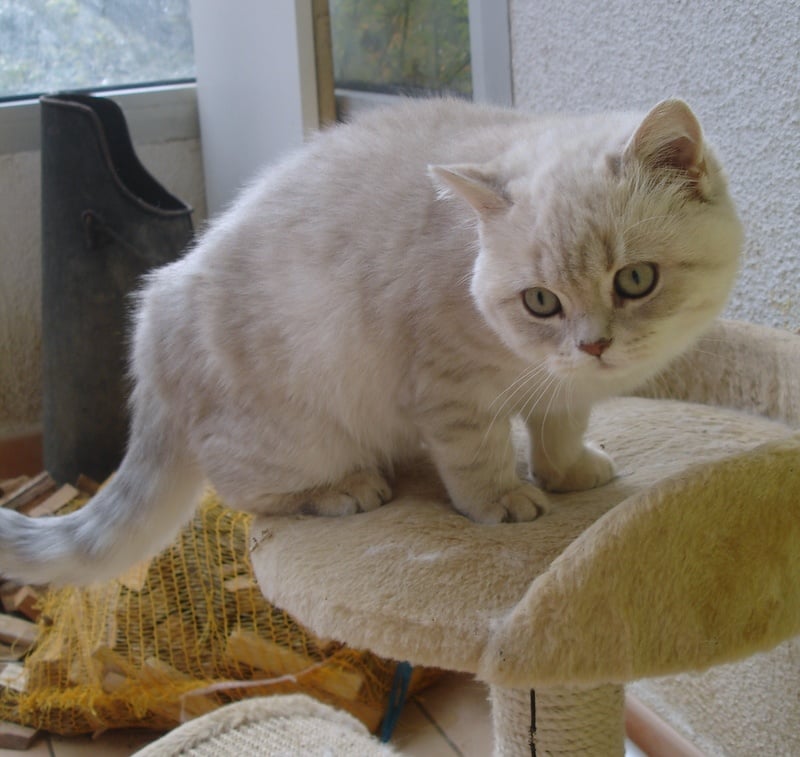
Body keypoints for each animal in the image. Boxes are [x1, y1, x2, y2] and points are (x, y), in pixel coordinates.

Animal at [0, 97, 744, 584]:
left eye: (635, 280)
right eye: (542, 301)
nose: (594, 346)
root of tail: (156, 314)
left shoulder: (559, 388)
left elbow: (559, 431)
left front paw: (568, 472)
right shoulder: (449, 388)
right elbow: (477, 458)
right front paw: (503, 500)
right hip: (294, 434)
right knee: (245, 490)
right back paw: (346, 488)